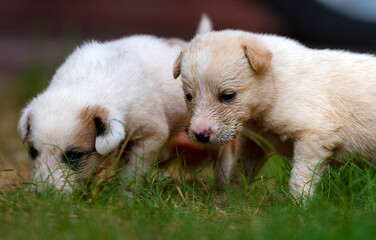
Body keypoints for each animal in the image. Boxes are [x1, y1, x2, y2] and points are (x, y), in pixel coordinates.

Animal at [17, 15, 232, 192]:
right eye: (33, 152)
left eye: (74, 156)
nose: (43, 196)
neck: (87, 81)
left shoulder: (150, 134)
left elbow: (132, 169)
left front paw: (124, 196)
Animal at [174, 29, 376, 197]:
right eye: (189, 96)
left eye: (228, 96)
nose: (200, 135)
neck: (276, 83)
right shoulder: (253, 141)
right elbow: (240, 171)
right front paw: (229, 201)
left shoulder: (314, 136)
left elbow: (301, 177)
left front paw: (299, 208)